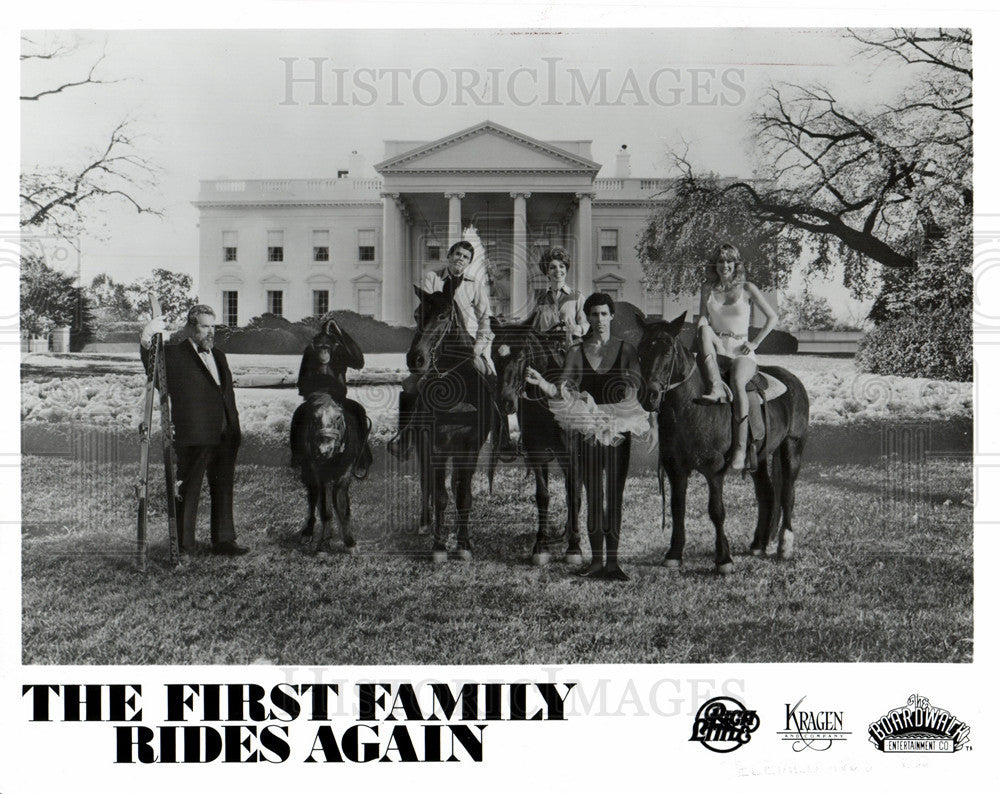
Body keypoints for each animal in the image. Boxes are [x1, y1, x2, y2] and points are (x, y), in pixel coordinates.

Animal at [290, 392, 364, 552]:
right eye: (315, 418)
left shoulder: (344, 476)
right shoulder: (320, 476)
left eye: (338, 417)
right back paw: (308, 532)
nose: (324, 450)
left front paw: (350, 543)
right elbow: (325, 510)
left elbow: (343, 509)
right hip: (308, 473)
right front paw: (324, 542)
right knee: (313, 500)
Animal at [406, 288, 500, 560]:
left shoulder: (470, 447)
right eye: (417, 314)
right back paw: (426, 523)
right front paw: (438, 546)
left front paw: (464, 543)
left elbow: (463, 495)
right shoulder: (435, 446)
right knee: (426, 481)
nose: (415, 359)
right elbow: (439, 495)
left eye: (444, 315)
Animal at [490, 320, 584, 564]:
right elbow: (543, 496)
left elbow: (573, 493)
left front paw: (575, 547)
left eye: (522, 355)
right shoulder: (536, 453)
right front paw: (541, 545)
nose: (505, 402)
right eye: (493, 354)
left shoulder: (570, 452)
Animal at [636, 312, 808, 572]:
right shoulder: (676, 470)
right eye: (640, 350)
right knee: (767, 493)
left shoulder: (714, 470)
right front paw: (674, 553)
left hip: (792, 447)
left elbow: (716, 511)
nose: (650, 396)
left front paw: (724, 560)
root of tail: (794, 381)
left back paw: (785, 547)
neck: (692, 406)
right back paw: (758, 544)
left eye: (668, 351)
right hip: (758, 456)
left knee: (788, 494)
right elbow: (677, 508)